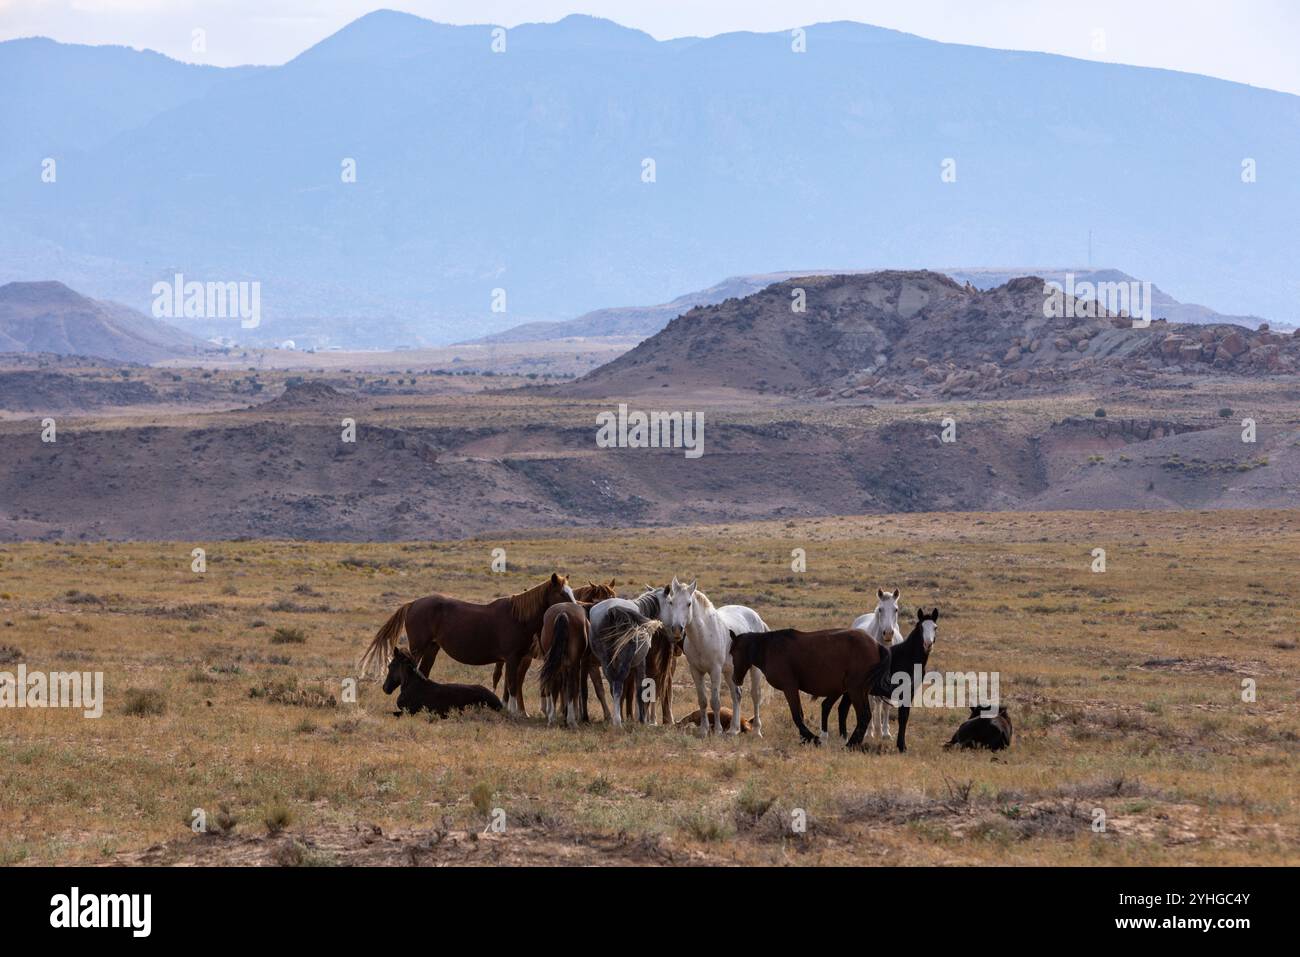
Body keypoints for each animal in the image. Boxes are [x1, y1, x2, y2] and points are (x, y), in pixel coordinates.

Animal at [358, 572, 575, 717]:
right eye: (562, 594)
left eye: (571, 592)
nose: (575, 607)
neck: (518, 617)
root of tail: (412, 604)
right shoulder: (513, 658)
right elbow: (513, 685)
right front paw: (514, 713)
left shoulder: (516, 658)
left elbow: (510, 686)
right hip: (419, 647)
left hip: (432, 648)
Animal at [657, 578, 769, 736]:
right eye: (671, 602)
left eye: (689, 603)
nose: (677, 629)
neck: (703, 636)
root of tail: (757, 618)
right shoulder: (696, 671)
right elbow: (703, 700)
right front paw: (704, 730)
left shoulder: (715, 670)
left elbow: (715, 701)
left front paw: (717, 730)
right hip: (730, 671)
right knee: (736, 695)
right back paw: (733, 730)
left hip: (754, 669)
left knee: (755, 695)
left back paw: (757, 732)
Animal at [729, 626, 889, 747]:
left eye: (733, 652)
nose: (735, 679)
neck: (769, 648)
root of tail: (876, 645)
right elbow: (800, 714)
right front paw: (806, 739)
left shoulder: (790, 688)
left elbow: (797, 716)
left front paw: (813, 738)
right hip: (856, 691)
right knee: (857, 713)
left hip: (856, 690)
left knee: (864, 715)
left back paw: (851, 744)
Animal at [823, 587, 903, 741]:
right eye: (880, 609)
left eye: (895, 609)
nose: (888, 634)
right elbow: (871, 704)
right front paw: (869, 732)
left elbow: (885, 705)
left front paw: (885, 733)